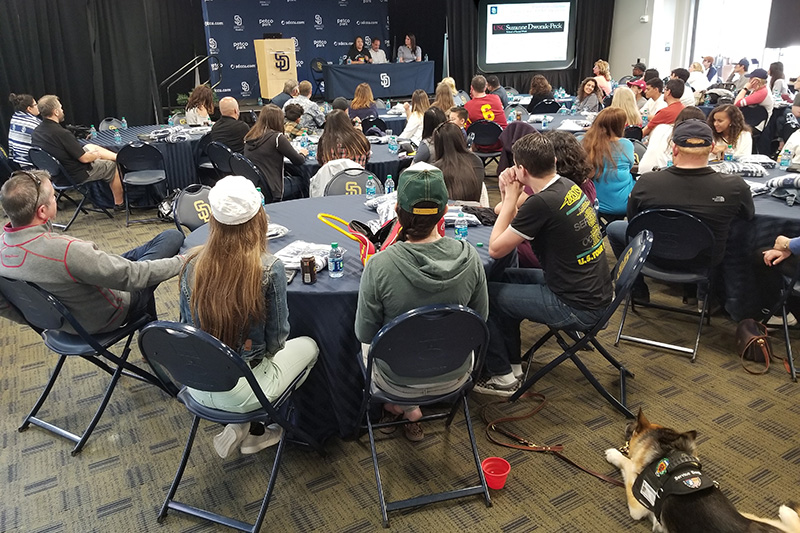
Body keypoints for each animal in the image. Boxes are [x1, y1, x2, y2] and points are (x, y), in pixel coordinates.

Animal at [604, 410, 796, 528]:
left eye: (635, 427)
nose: (628, 421)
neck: (668, 451)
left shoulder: (637, 504)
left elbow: (628, 465)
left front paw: (614, 454)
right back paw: (786, 511)